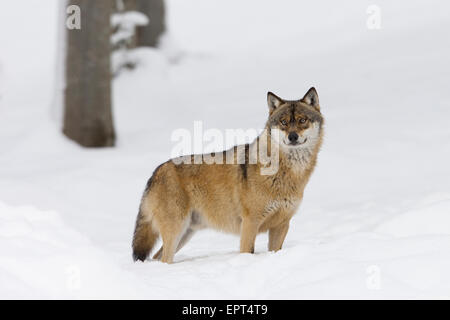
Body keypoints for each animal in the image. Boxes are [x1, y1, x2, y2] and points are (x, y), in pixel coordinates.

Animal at [131, 87, 324, 262]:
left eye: (302, 120)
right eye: (283, 122)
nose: (293, 137)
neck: (287, 172)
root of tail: (156, 171)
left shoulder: (282, 224)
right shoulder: (250, 223)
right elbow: (247, 251)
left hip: (185, 233)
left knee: (156, 257)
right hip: (176, 231)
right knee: (163, 258)